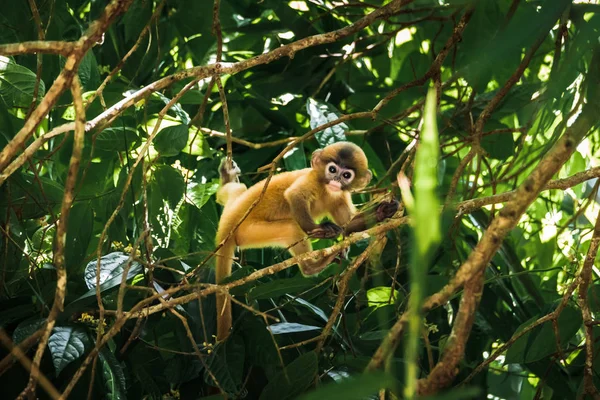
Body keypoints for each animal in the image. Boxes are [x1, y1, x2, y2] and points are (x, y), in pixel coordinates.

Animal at [213, 141, 396, 340]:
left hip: (236, 209)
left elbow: (348, 224)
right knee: (292, 227)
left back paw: (226, 177)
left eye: (346, 175)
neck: (326, 189)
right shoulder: (311, 179)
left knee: (235, 191)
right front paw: (320, 230)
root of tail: (230, 221)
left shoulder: (340, 196)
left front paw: (383, 211)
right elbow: (295, 195)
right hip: (248, 231)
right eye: (332, 169)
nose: (336, 180)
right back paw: (312, 266)